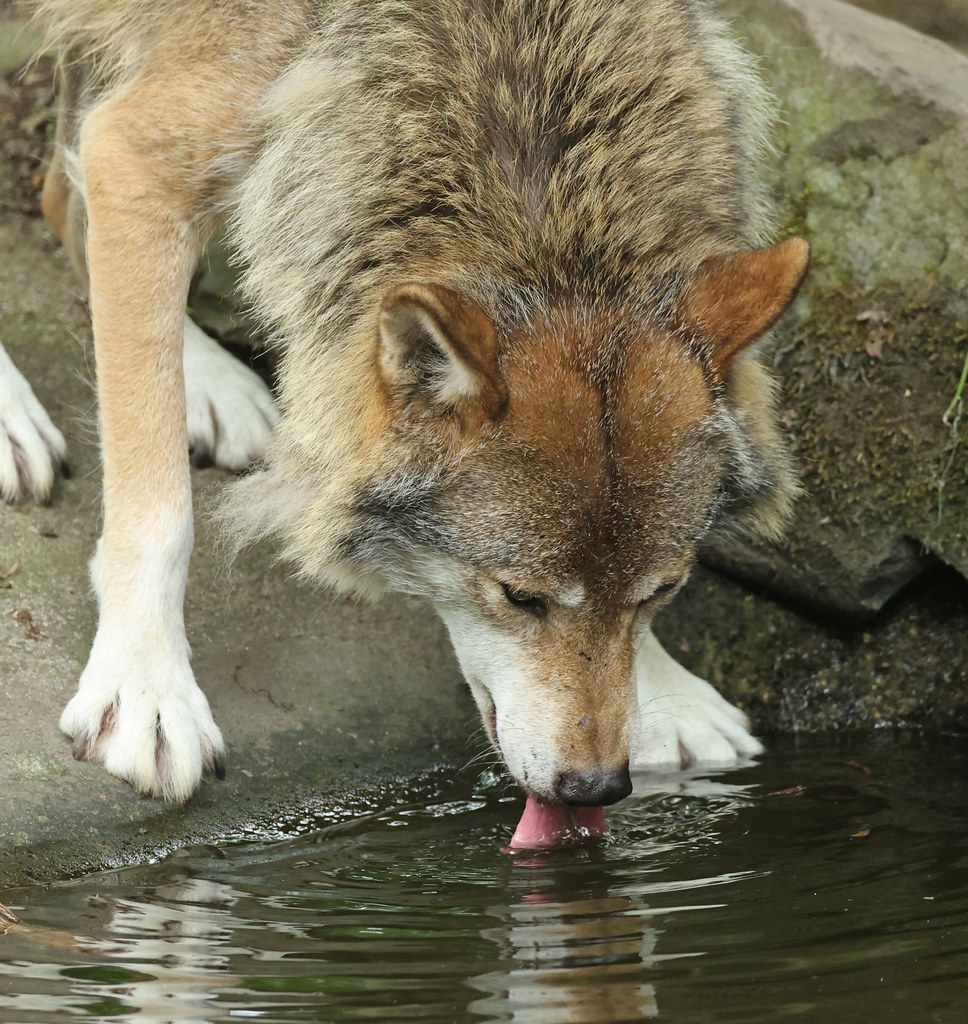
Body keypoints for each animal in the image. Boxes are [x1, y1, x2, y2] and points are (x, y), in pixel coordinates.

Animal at [1, 0, 806, 846]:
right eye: (519, 597)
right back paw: (17, 421)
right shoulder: (141, 152)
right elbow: (160, 508)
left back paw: (209, 385)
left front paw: (669, 695)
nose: (594, 787)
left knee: (63, 198)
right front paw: (147, 690)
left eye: (664, 590)